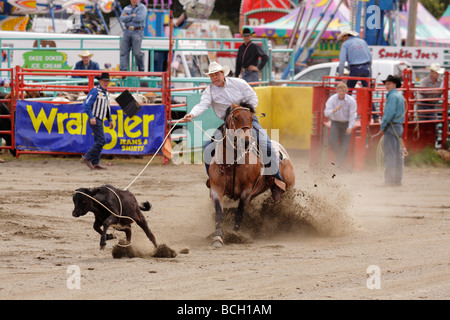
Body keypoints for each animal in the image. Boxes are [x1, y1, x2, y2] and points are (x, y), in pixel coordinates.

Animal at [208, 102, 296, 248]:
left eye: (250, 118)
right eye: (236, 117)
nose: (246, 142)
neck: (234, 161)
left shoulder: (246, 191)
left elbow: (239, 213)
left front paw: (235, 235)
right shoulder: (216, 188)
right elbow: (219, 213)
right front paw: (217, 237)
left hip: (289, 188)